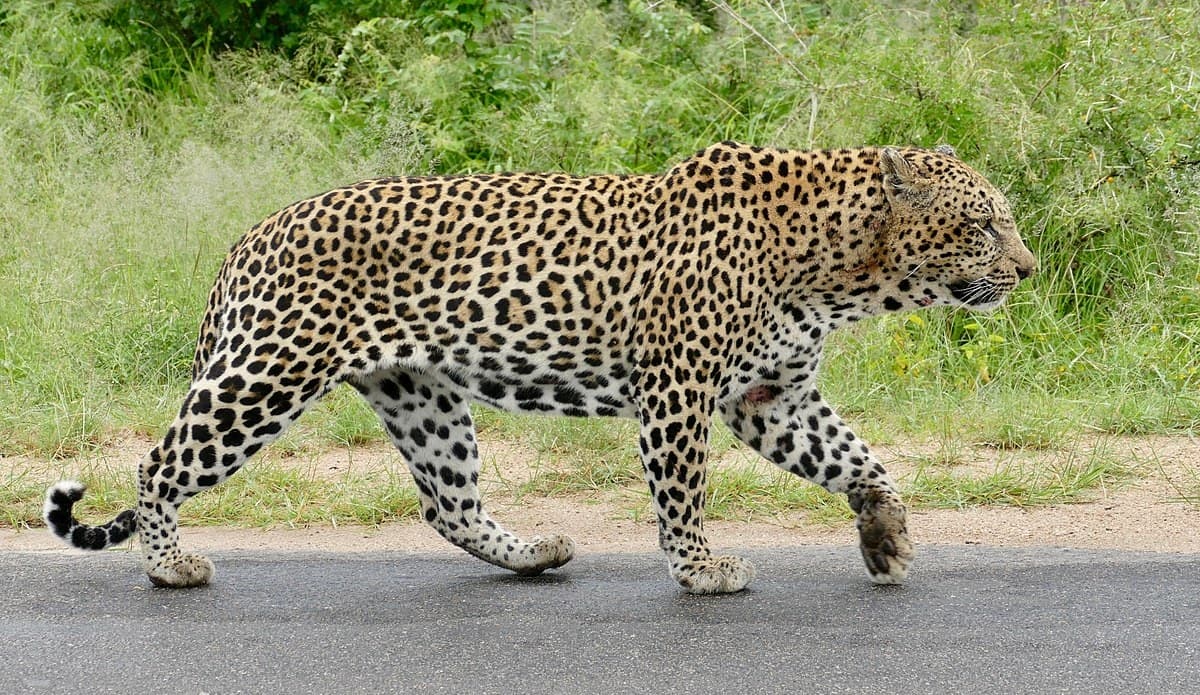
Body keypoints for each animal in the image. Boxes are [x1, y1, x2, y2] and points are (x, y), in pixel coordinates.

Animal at [44, 142, 1035, 594]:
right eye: (983, 223)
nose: (1027, 269)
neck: (843, 271)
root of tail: (250, 235)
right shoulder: (679, 390)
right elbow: (683, 493)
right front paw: (700, 570)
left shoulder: (772, 395)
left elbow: (861, 458)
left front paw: (886, 536)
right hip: (268, 373)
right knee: (158, 462)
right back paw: (170, 565)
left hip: (420, 395)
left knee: (448, 503)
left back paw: (532, 553)